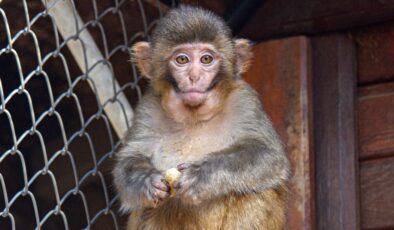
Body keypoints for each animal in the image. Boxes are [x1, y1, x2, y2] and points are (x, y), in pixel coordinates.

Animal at [112, 4, 290, 229]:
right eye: (182, 59)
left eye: (206, 59)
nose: (194, 76)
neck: (193, 116)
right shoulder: (148, 108)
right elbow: (129, 160)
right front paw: (147, 181)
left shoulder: (245, 101)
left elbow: (268, 155)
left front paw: (201, 175)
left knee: (253, 192)